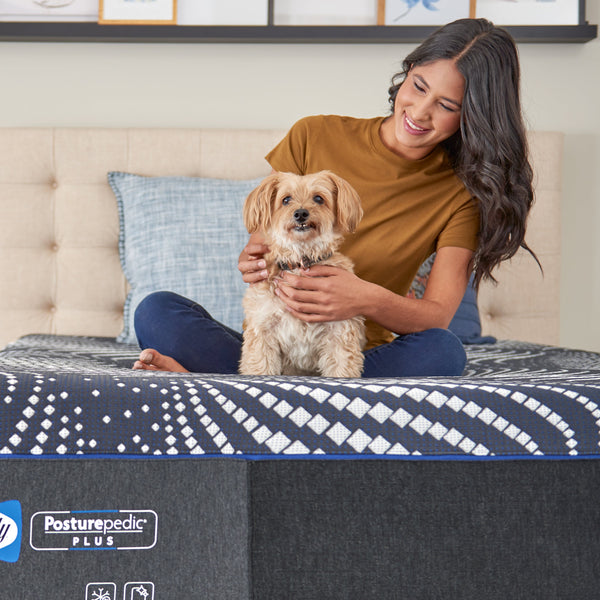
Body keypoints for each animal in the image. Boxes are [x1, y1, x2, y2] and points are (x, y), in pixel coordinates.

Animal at [239, 169, 366, 378]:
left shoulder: (340, 334)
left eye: (318, 198)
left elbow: (341, 371)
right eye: (286, 199)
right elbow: (261, 367)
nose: (300, 213)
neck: (300, 260)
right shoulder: (262, 333)